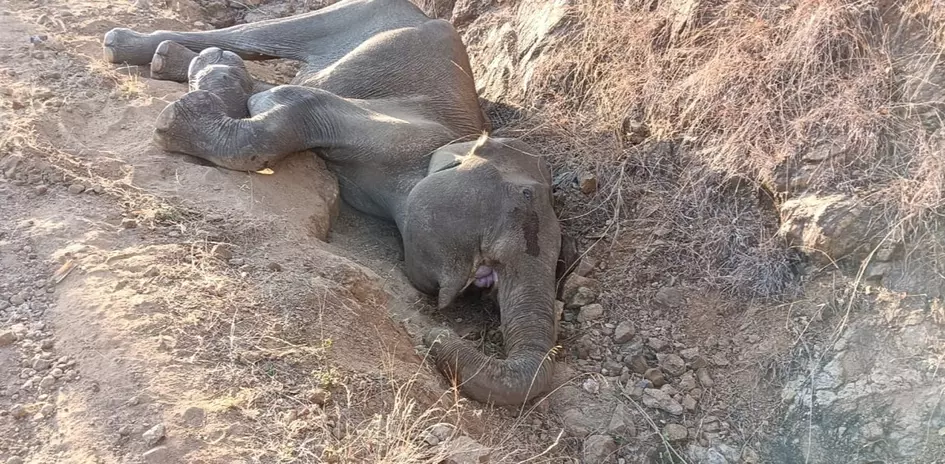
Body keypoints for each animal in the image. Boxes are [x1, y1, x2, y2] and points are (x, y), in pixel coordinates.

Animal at [102, 0, 580, 405]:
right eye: (523, 199)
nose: (437, 339)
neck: (462, 139)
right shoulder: (393, 132)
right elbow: (287, 106)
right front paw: (187, 108)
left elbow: (268, 97)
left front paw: (217, 80)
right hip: (352, 14)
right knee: (256, 35)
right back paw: (150, 50)